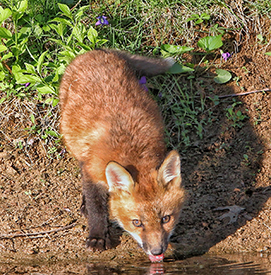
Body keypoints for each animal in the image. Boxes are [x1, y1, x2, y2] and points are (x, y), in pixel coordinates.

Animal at [60, 49, 185, 264]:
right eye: (137, 223)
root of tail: (100, 51)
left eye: (165, 219)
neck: (132, 152)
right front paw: (98, 236)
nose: (157, 251)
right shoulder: (93, 170)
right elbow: (96, 207)